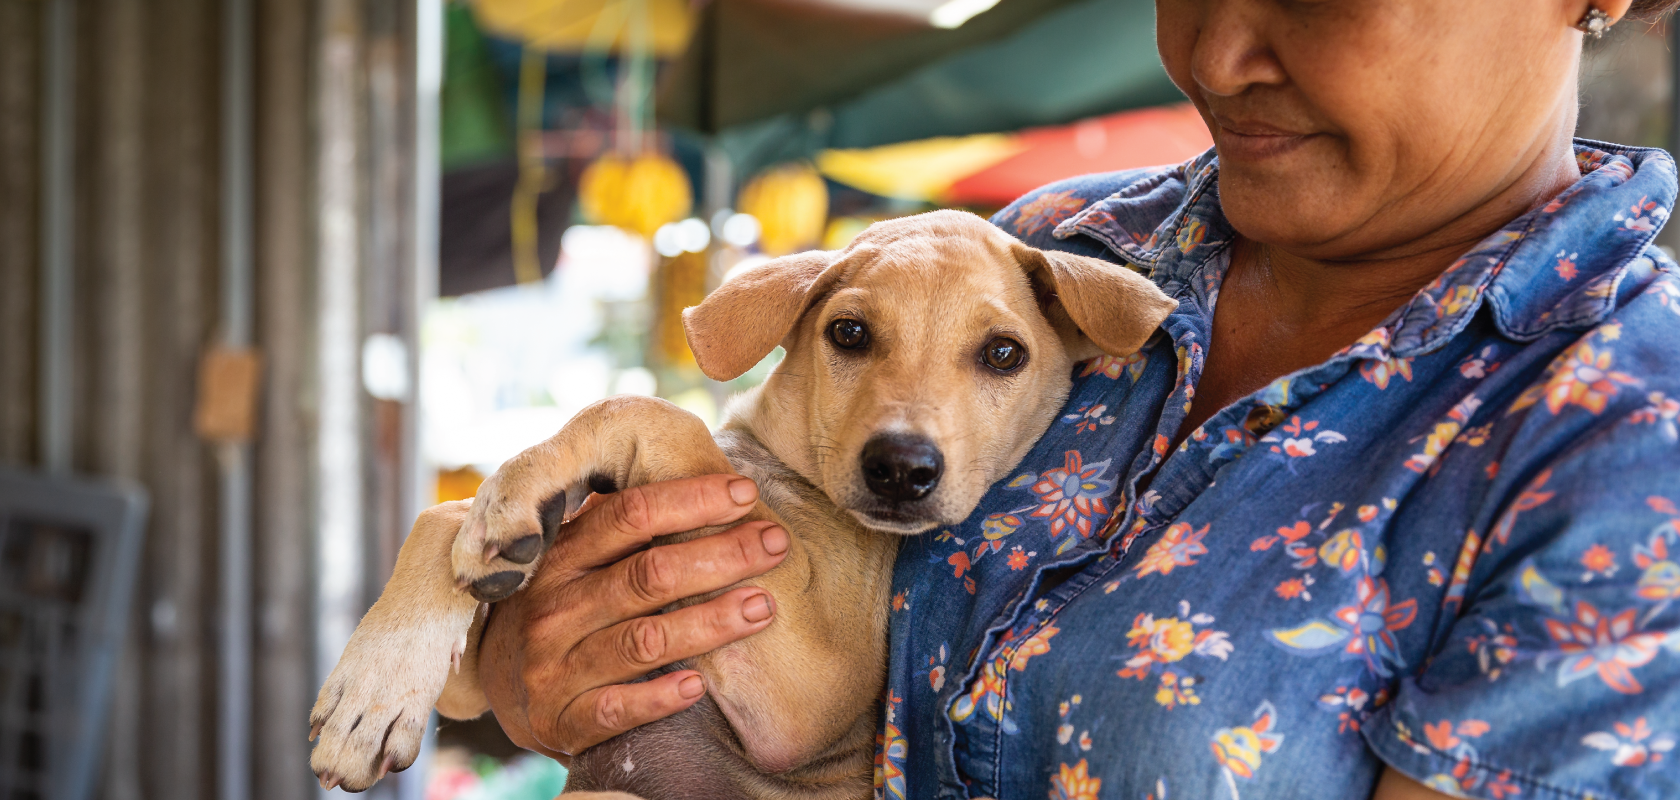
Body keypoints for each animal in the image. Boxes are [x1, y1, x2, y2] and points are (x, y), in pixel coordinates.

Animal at [309, 209, 1176, 796]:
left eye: (1003, 354)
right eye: (849, 334)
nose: (900, 470)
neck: (786, 478)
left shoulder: (804, 695)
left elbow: (656, 411)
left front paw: (518, 489)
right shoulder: (476, 679)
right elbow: (443, 518)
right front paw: (369, 693)